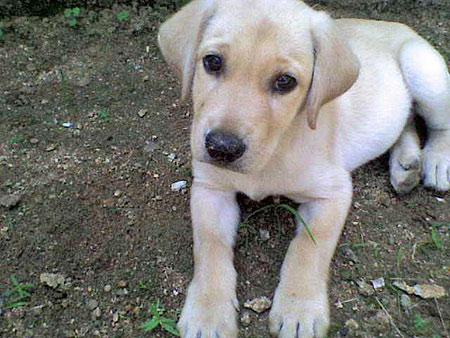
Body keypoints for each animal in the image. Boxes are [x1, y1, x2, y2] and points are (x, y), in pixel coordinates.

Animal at [158, 0, 450, 336]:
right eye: (213, 62)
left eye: (285, 81)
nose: (221, 147)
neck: (277, 147)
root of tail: (398, 25)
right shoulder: (210, 189)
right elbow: (210, 246)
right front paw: (208, 313)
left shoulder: (333, 193)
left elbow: (308, 247)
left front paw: (299, 309)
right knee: (407, 120)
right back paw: (406, 164)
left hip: (425, 73)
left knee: (437, 123)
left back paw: (436, 161)